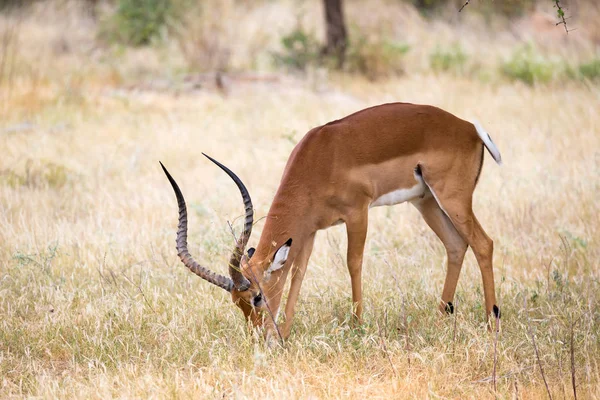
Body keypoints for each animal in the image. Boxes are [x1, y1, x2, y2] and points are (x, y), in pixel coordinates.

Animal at [159, 101, 502, 340]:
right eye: (235, 302)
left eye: (256, 297)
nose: (258, 338)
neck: (318, 158)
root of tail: (469, 128)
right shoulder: (309, 231)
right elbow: (298, 274)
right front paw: (285, 335)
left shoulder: (358, 212)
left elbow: (353, 263)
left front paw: (358, 326)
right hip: (426, 201)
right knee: (456, 245)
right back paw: (441, 316)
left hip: (453, 199)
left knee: (483, 243)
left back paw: (492, 322)